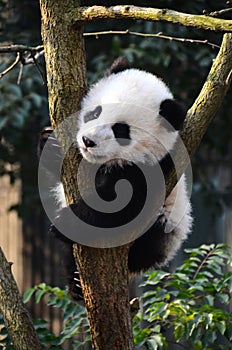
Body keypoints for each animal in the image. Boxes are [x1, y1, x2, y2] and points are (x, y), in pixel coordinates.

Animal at [40, 56, 192, 300]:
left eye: (121, 130)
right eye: (95, 112)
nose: (88, 141)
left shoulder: (155, 170)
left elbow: (122, 207)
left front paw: (67, 221)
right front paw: (50, 145)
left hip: (165, 228)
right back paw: (76, 284)